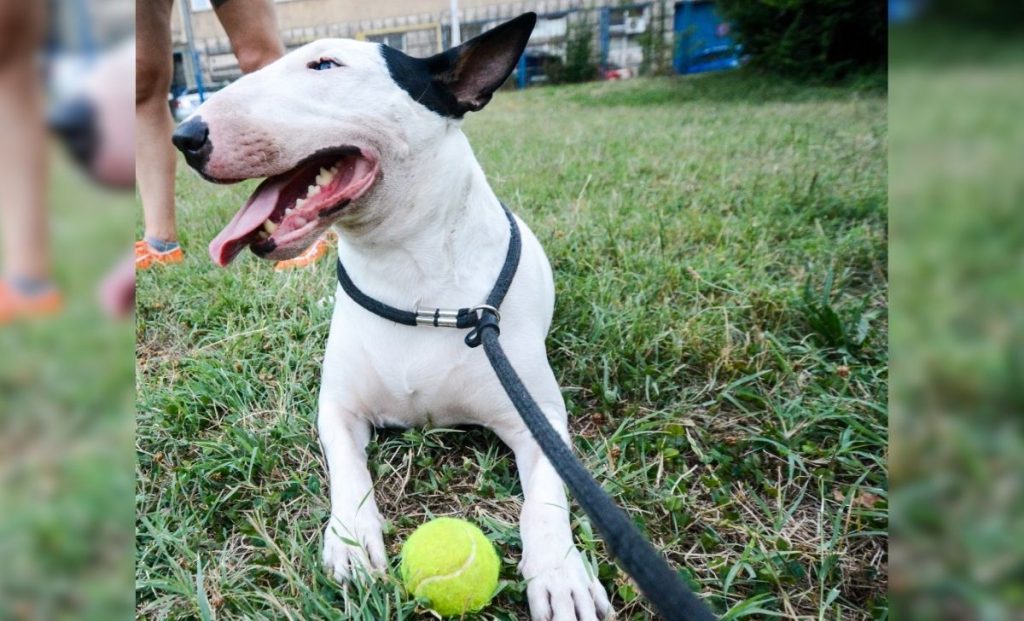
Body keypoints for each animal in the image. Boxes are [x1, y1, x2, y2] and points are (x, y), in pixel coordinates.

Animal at [173, 14, 610, 621]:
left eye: (324, 65)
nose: (186, 137)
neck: (412, 280)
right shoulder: (338, 408)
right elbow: (347, 470)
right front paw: (352, 541)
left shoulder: (537, 415)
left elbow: (546, 498)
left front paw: (561, 573)